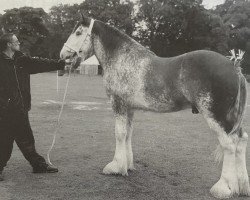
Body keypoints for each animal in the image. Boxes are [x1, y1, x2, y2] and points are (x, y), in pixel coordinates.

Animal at [60, 14, 250, 198]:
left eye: (78, 32)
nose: (63, 55)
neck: (123, 59)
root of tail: (234, 68)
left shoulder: (118, 105)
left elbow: (119, 134)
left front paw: (115, 167)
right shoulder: (129, 109)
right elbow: (128, 134)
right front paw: (127, 166)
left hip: (216, 117)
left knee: (229, 145)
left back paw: (223, 188)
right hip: (231, 120)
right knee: (241, 141)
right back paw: (241, 187)